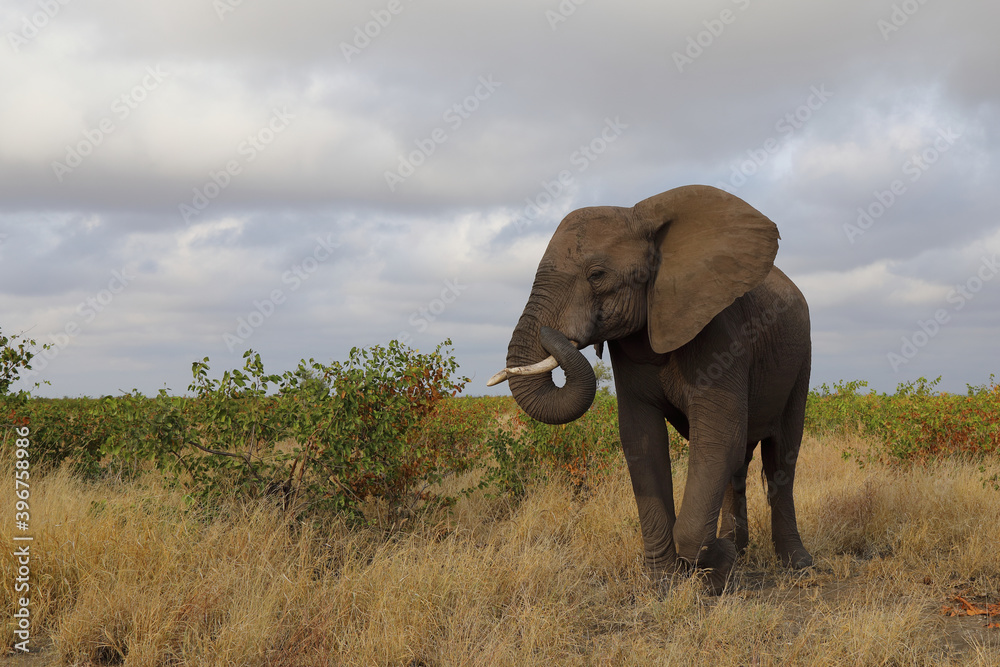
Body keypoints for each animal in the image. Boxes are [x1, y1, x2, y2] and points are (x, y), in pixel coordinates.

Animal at [488, 185, 813, 593]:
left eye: (597, 275)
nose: (552, 335)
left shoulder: (721, 329)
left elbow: (719, 435)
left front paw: (713, 561)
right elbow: (642, 439)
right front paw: (666, 582)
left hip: (801, 358)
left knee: (781, 456)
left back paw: (798, 565)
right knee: (737, 462)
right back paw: (738, 547)